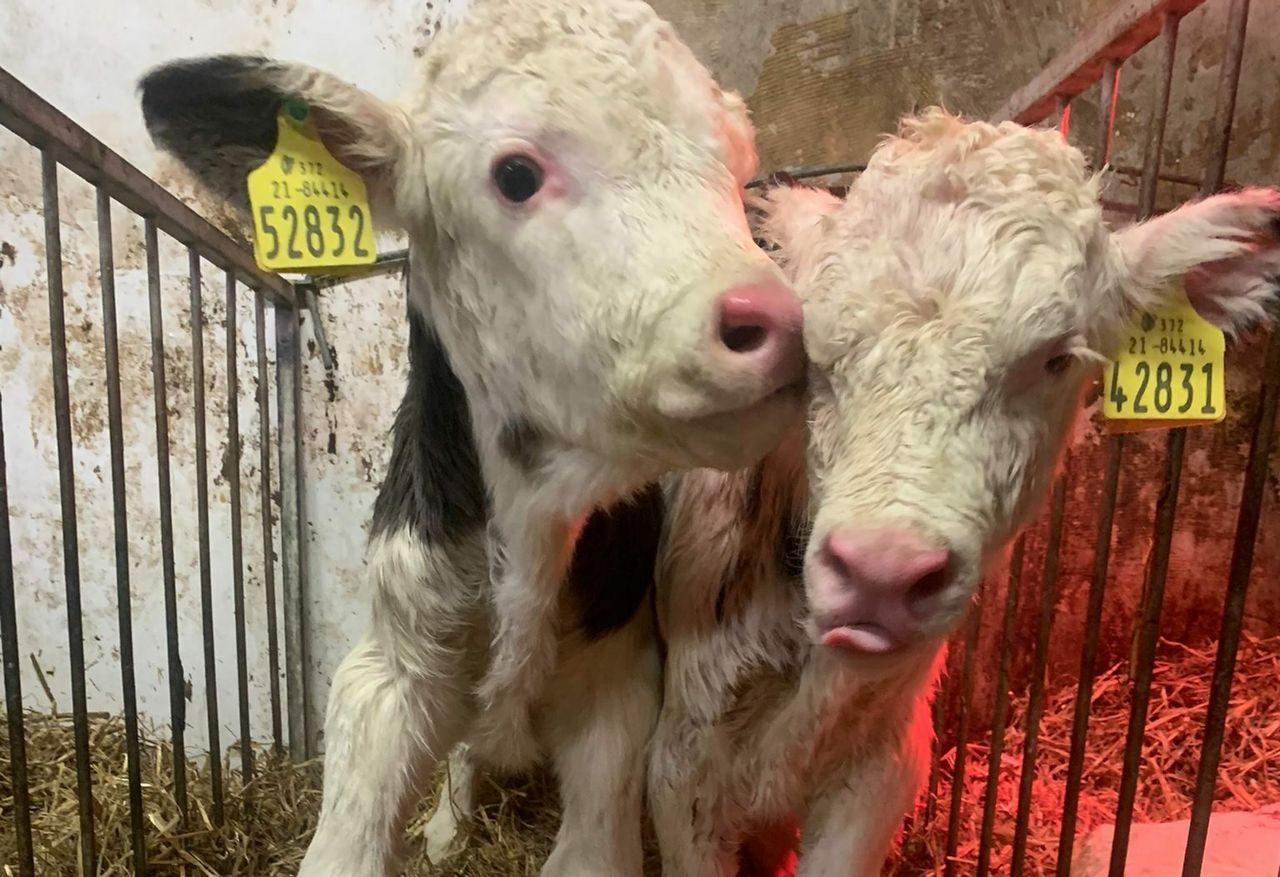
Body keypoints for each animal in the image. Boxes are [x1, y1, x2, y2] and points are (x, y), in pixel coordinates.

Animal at [137, 1, 807, 874]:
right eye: (516, 174)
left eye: (735, 164)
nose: (779, 319)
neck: (533, 527)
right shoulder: (389, 664)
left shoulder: (620, 689)